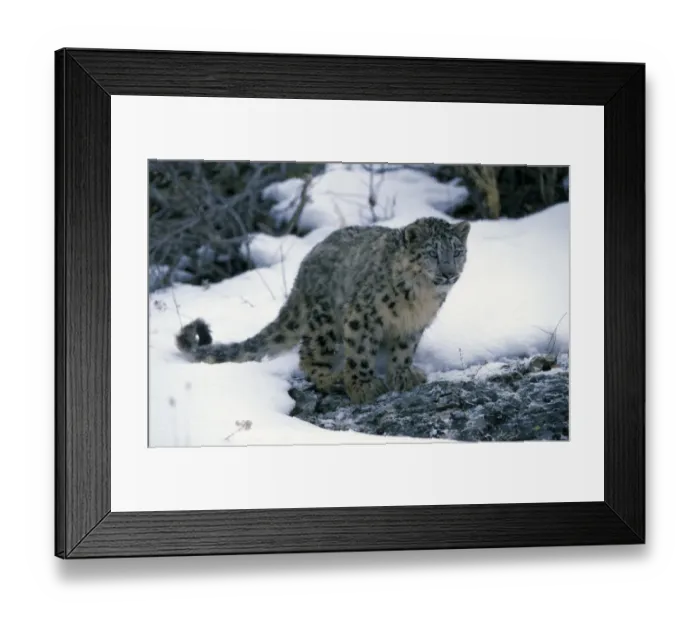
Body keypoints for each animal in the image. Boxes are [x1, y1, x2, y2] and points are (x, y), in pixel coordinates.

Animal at [175, 216, 471, 404]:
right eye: (432, 253)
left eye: (457, 251)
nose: (448, 272)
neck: (420, 298)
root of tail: (304, 266)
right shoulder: (363, 315)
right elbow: (360, 354)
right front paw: (363, 387)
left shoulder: (412, 325)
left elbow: (404, 351)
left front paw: (403, 375)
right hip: (325, 321)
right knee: (309, 355)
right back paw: (332, 378)